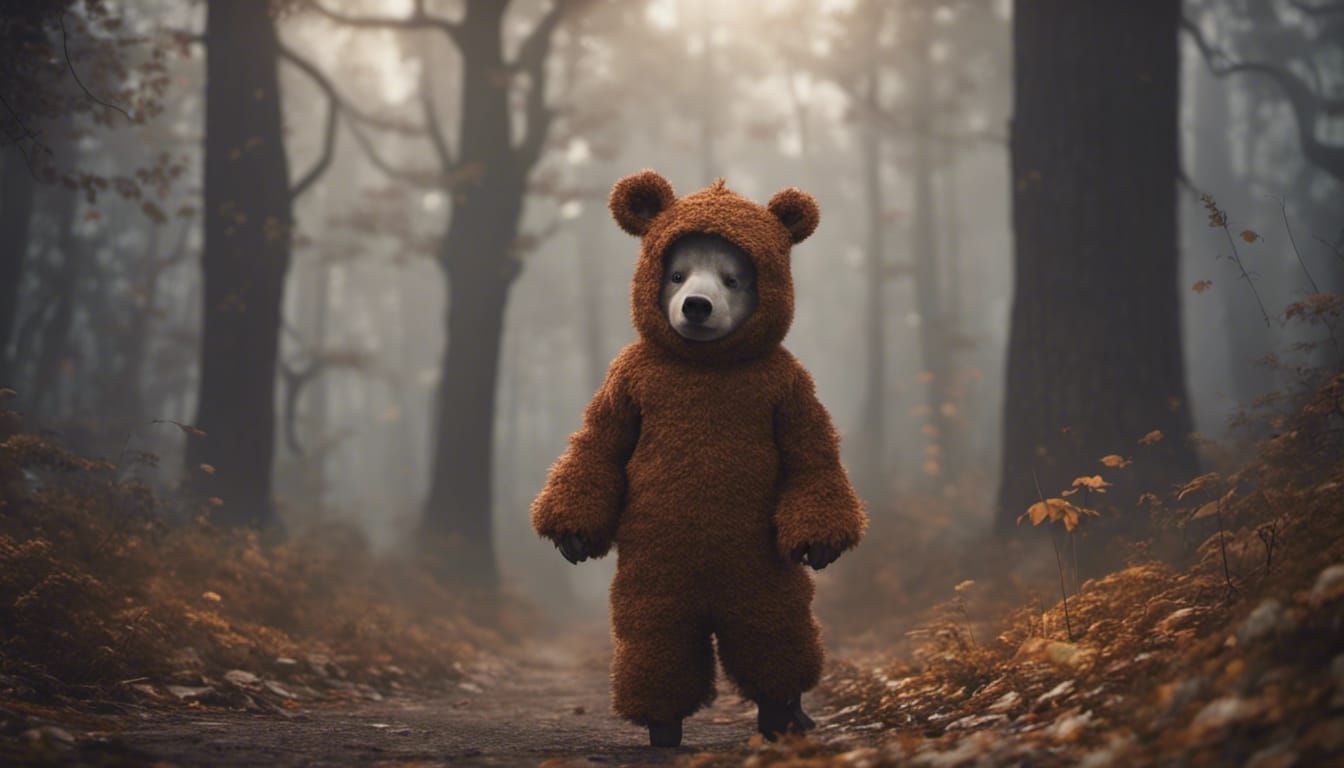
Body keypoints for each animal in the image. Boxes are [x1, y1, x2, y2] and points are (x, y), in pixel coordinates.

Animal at [531, 170, 867, 748]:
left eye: (732, 280)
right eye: (676, 275)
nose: (696, 306)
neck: (706, 367)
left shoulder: (789, 384)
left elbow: (812, 454)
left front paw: (822, 542)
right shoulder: (627, 378)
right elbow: (599, 444)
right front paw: (571, 533)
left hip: (759, 574)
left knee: (775, 633)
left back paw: (782, 714)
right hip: (655, 569)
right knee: (655, 636)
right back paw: (662, 723)